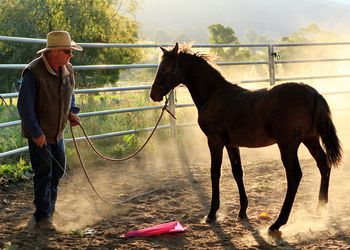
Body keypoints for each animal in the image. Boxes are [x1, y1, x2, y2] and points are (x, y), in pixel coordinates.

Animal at [150, 43, 342, 234]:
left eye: (166, 68)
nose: (154, 94)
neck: (213, 95)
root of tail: (313, 93)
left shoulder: (214, 141)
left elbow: (215, 173)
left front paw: (212, 214)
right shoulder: (232, 145)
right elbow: (238, 172)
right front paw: (242, 211)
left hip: (288, 144)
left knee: (295, 175)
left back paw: (277, 223)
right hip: (310, 139)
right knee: (323, 165)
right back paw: (320, 209)